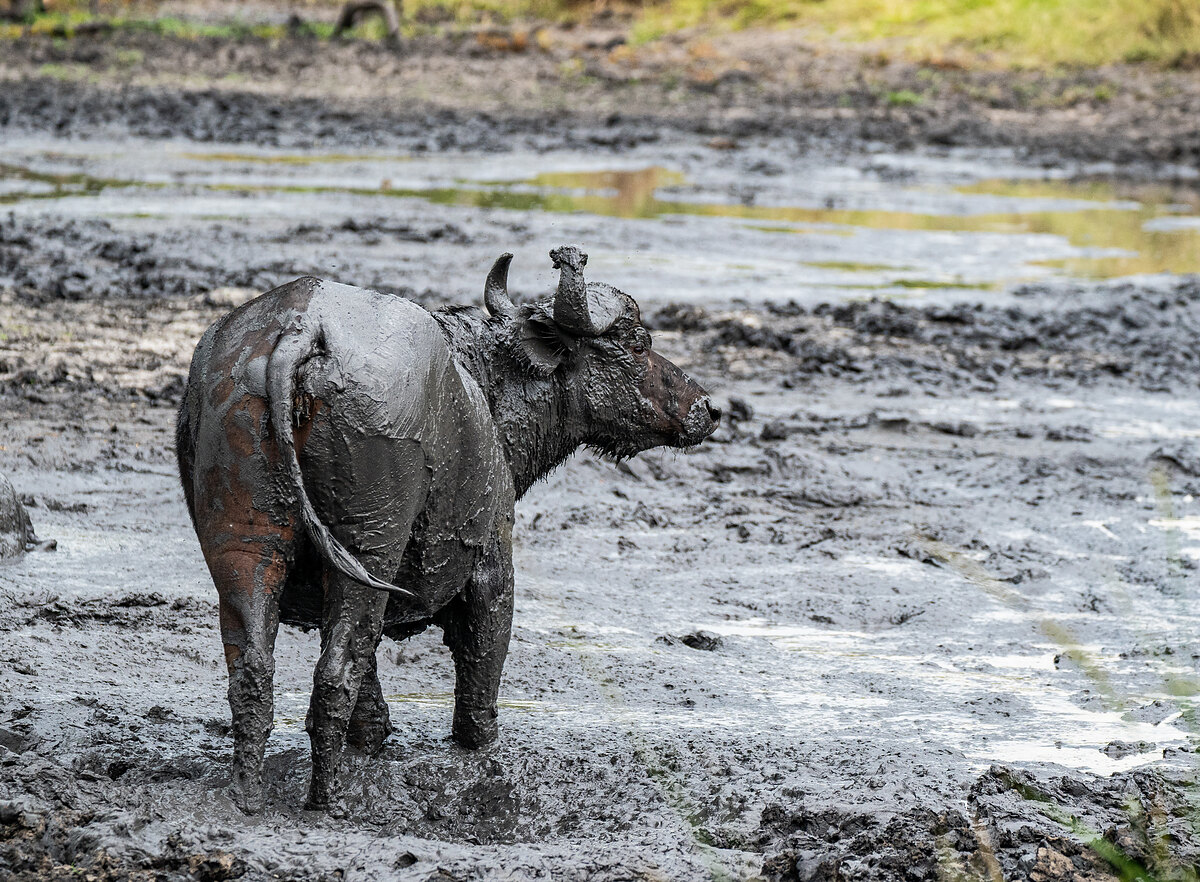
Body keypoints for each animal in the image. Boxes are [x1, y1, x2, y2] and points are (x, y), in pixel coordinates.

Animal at [175, 246, 719, 812]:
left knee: (254, 669)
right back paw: (329, 798)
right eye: (636, 343)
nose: (709, 408)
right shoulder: (492, 568)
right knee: (335, 673)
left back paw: (246, 794)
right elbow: (480, 668)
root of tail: (304, 327)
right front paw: (478, 745)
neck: (481, 392)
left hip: (245, 544)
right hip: (369, 546)